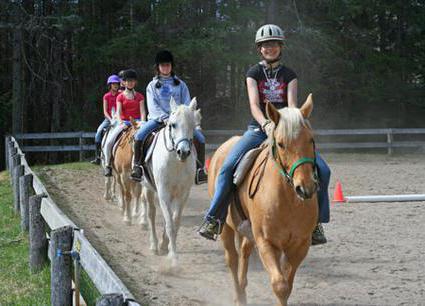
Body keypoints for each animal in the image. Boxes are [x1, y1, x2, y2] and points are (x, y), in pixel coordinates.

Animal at [144, 97, 200, 266]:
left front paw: (167, 246)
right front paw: (173, 257)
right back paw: (154, 245)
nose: (184, 152)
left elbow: (175, 221)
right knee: (151, 214)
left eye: (193, 125)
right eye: (173, 125)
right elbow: (169, 223)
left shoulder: (183, 194)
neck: (175, 161)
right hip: (148, 188)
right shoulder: (163, 193)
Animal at [209, 94, 318, 306]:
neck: (288, 200)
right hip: (226, 228)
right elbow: (280, 285)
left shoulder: (300, 245)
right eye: (281, 144)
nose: (305, 188)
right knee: (232, 259)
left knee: (244, 252)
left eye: (311, 140)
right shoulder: (267, 243)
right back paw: (239, 297)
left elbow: (287, 285)